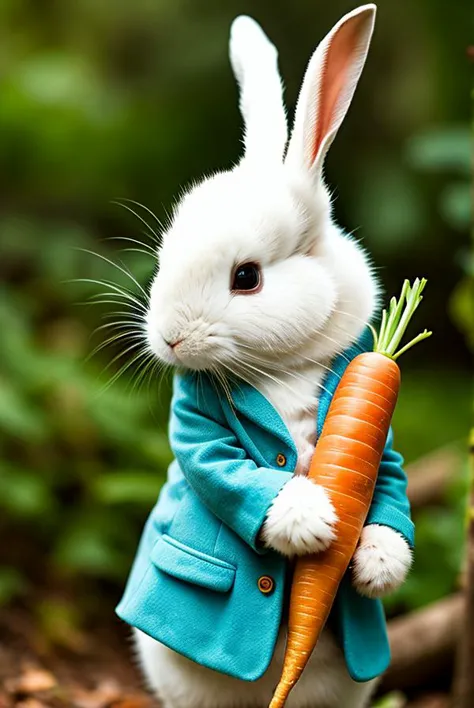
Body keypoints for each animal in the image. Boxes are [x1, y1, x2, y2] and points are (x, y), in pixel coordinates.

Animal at [130, 5, 412, 708]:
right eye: (165, 258)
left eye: (247, 277)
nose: (168, 339)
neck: (282, 367)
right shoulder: (197, 421)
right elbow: (220, 464)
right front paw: (312, 523)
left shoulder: (386, 440)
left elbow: (391, 484)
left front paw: (377, 563)